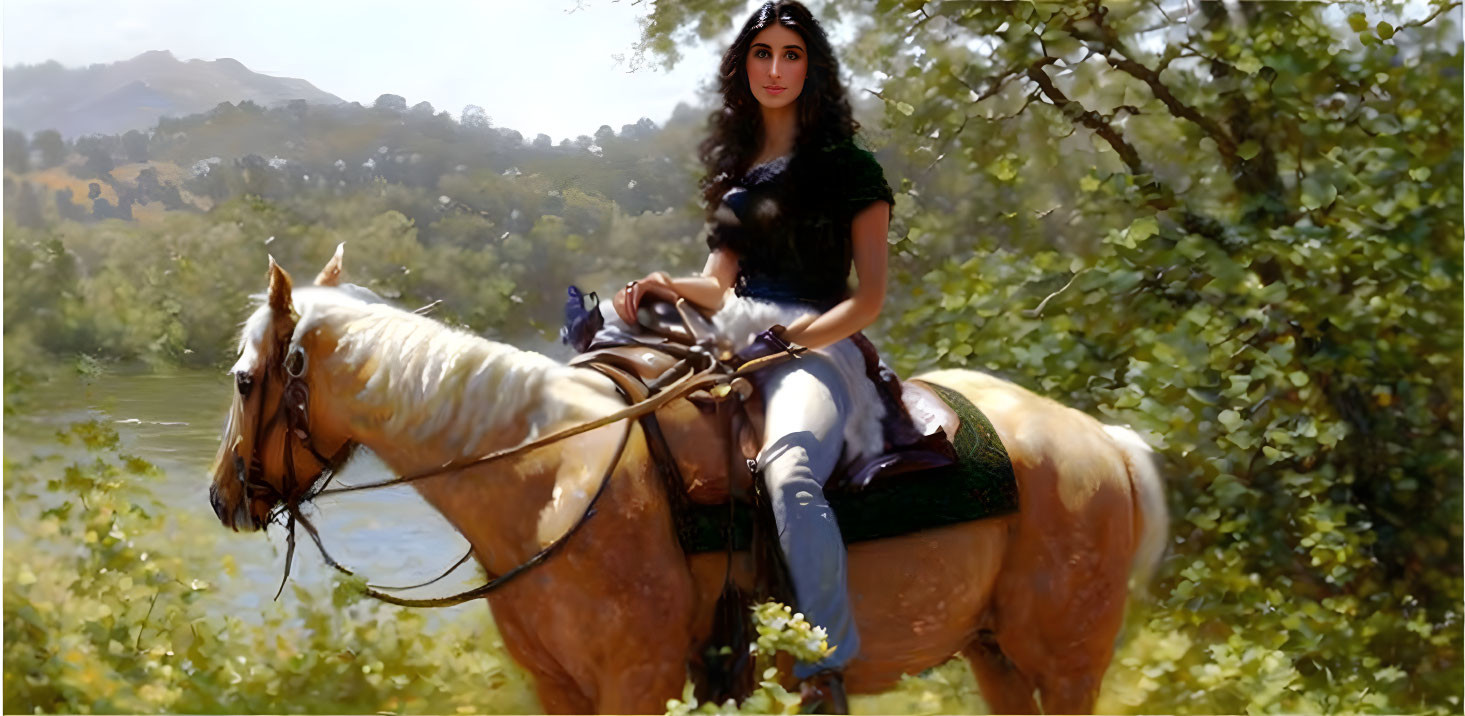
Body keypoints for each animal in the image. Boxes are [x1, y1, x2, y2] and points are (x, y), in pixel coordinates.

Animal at [206, 247, 1166, 714]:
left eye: (245, 380)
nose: (223, 498)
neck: (551, 477)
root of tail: (1102, 443)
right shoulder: (559, 690)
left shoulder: (638, 681)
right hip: (994, 654)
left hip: (1068, 663)